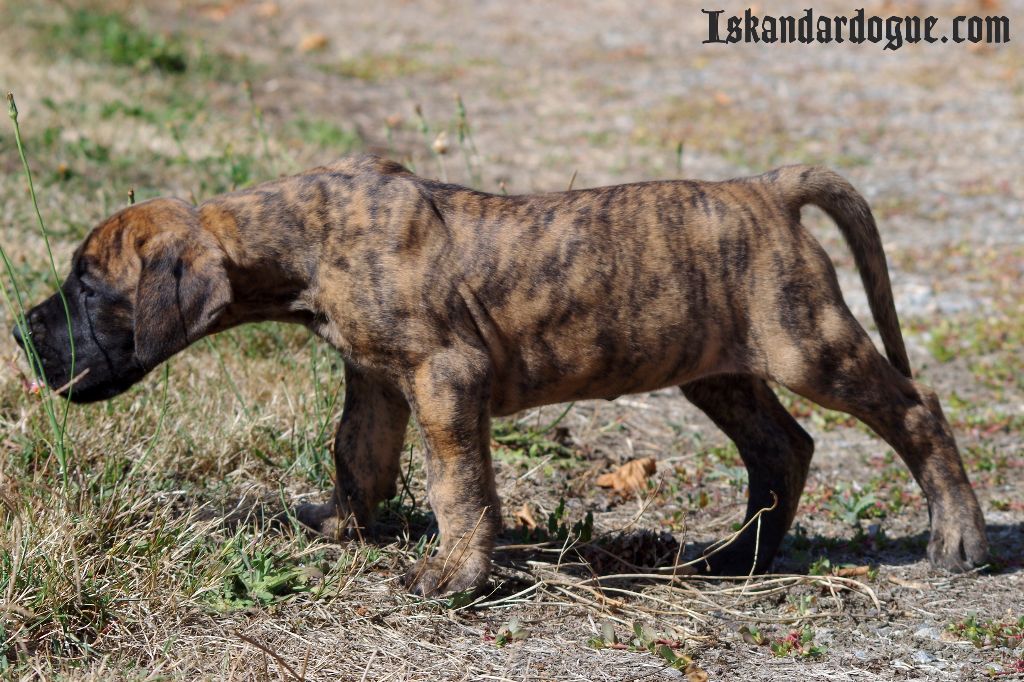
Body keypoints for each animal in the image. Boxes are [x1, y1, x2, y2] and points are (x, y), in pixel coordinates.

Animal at [14, 154, 988, 595]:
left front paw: (456, 572)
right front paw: (339, 527)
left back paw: (959, 541)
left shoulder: (448, 378)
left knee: (916, 409)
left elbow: (458, 484)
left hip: (805, 344)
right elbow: (355, 457)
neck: (299, 239)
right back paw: (736, 560)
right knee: (783, 447)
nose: (21, 332)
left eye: (89, 287)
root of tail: (771, 187)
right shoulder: (377, 382)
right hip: (720, 370)